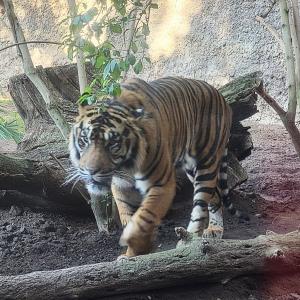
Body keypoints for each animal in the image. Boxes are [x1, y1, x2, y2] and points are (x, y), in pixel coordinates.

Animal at [69, 76, 232, 256]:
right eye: (84, 139)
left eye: (113, 144)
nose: (91, 171)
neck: (126, 167)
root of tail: (219, 94)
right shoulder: (120, 186)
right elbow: (128, 217)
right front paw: (131, 254)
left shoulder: (161, 184)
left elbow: (145, 216)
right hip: (192, 168)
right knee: (215, 195)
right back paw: (210, 231)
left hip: (206, 162)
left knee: (202, 202)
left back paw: (193, 240)